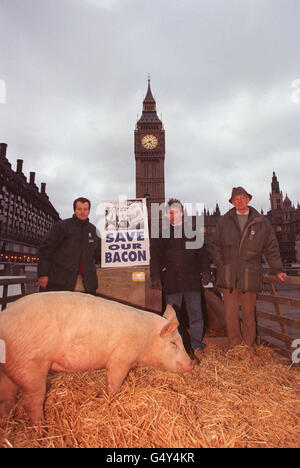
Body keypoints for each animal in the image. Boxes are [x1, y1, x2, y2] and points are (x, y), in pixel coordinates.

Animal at [0, 290, 193, 422]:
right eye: (173, 343)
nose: (191, 363)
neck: (146, 338)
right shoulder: (121, 357)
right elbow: (114, 382)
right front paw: (111, 400)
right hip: (29, 366)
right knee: (32, 400)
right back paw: (42, 427)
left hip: (10, 367)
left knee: (7, 397)